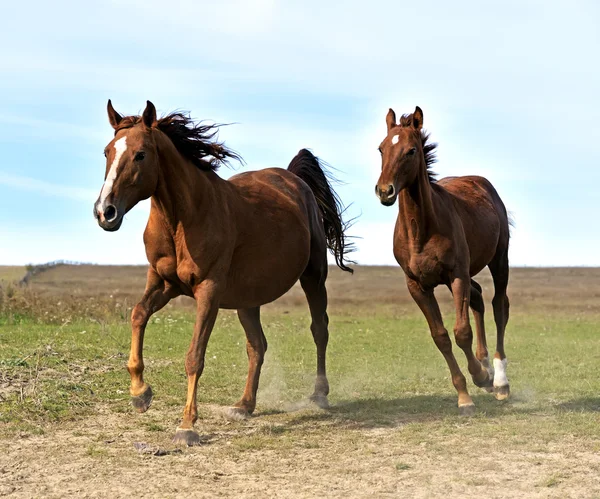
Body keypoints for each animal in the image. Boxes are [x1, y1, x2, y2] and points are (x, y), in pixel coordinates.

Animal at [93, 101, 352, 446]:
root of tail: (295, 180)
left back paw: (319, 395)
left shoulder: (209, 291)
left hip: (313, 276)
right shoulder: (162, 283)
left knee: (319, 329)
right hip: (248, 299)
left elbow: (194, 356)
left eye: (140, 155)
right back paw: (244, 405)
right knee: (257, 346)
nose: (104, 212)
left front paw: (187, 426)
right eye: (107, 152)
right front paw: (140, 394)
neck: (183, 219)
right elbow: (138, 314)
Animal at [376, 107, 510, 416]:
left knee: (499, 306)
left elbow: (462, 332)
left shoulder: (456, 275)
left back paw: (499, 381)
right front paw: (465, 394)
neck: (421, 231)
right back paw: (486, 367)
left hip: (499, 259)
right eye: (381, 148)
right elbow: (441, 336)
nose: (385, 191)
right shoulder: (417, 286)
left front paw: (480, 378)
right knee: (478, 298)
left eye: (411, 150)